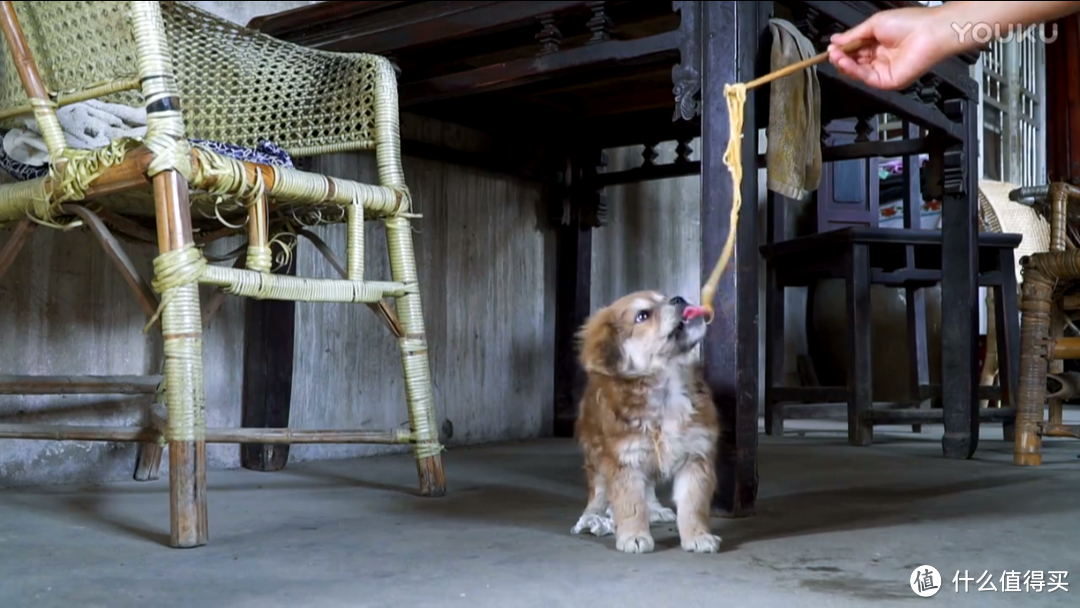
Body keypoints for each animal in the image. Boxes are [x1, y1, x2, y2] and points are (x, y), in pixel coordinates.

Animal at [570, 291, 721, 552]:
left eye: (666, 297)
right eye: (642, 316)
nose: (678, 298)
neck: (668, 383)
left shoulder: (696, 455)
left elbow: (693, 504)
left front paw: (697, 536)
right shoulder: (625, 459)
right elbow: (632, 504)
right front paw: (634, 536)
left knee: (648, 486)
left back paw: (656, 509)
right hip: (596, 452)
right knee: (598, 488)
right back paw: (591, 515)